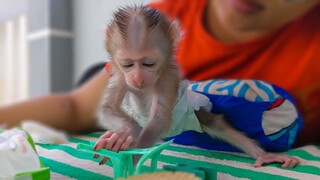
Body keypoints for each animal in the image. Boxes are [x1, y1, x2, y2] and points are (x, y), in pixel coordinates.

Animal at [94, 5, 298, 169]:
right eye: (128, 64)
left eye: (149, 63)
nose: (137, 78)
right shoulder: (120, 76)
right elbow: (106, 108)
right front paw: (127, 132)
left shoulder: (167, 77)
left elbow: (159, 120)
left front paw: (132, 153)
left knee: (215, 123)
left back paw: (264, 155)